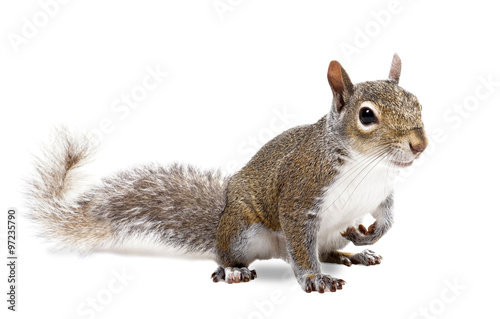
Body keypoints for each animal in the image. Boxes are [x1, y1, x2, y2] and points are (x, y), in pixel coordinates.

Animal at [26, 53, 426, 296]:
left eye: (417, 102)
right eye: (366, 115)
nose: (419, 145)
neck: (367, 165)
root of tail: (221, 222)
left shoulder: (382, 192)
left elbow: (387, 217)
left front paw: (368, 235)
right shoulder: (301, 194)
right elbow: (300, 242)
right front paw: (314, 279)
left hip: (322, 235)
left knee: (326, 249)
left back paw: (352, 255)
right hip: (242, 231)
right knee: (238, 254)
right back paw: (234, 270)